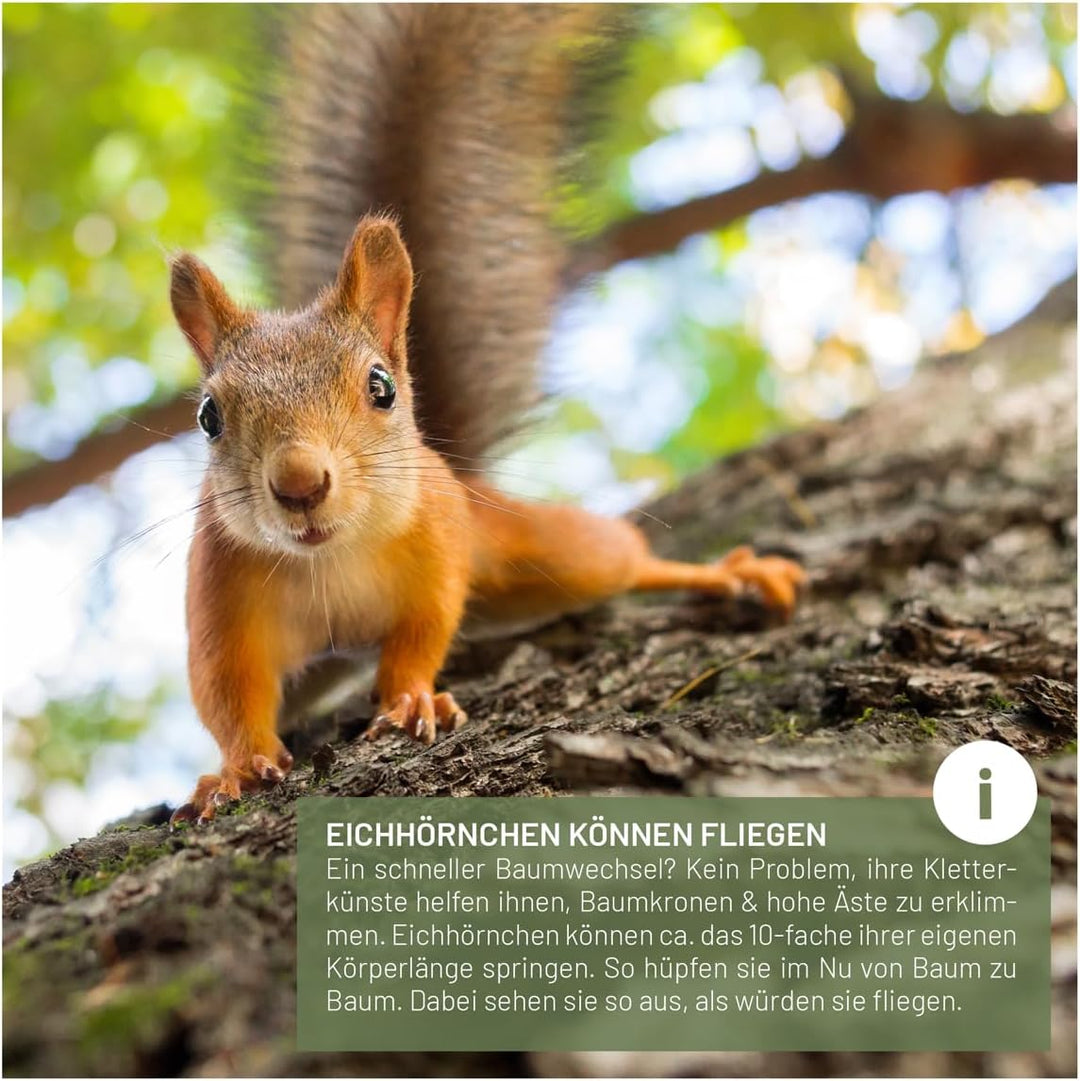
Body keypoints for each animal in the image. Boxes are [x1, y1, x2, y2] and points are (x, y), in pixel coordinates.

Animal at [167, 6, 805, 825]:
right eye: (209, 416)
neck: (329, 560)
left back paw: (724, 573)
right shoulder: (220, 591)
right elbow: (225, 690)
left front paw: (412, 699)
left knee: (619, 561)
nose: (300, 484)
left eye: (381, 387)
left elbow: (423, 630)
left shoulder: (437, 544)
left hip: (533, 548)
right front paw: (236, 768)